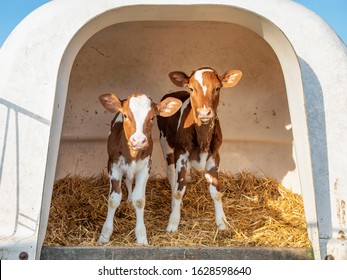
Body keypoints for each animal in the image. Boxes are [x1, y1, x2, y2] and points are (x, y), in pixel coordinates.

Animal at [98, 93, 182, 244]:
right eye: (125, 115)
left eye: (152, 117)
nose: (138, 140)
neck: (132, 154)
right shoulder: (113, 166)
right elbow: (113, 199)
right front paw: (105, 234)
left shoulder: (145, 167)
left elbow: (139, 200)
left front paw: (141, 236)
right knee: (127, 181)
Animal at [158, 67, 242, 232]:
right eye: (191, 88)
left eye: (217, 88)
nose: (204, 113)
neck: (202, 138)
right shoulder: (181, 154)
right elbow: (178, 190)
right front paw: (173, 222)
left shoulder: (214, 156)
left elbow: (216, 192)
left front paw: (222, 222)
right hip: (166, 144)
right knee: (171, 175)